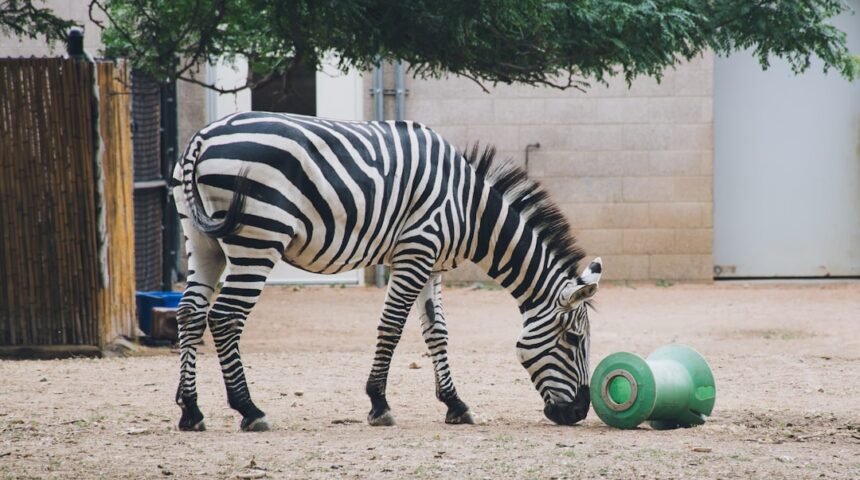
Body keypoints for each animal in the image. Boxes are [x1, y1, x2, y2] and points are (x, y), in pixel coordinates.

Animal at [172, 111, 602, 432]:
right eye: (574, 339)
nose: (579, 413)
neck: (470, 210)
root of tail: (202, 138)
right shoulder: (415, 250)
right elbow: (392, 325)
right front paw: (379, 403)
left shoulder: (431, 263)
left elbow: (437, 331)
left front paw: (454, 403)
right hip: (258, 238)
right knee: (226, 317)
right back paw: (249, 409)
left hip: (202, 240)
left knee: (190, 312)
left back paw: (191, 410)